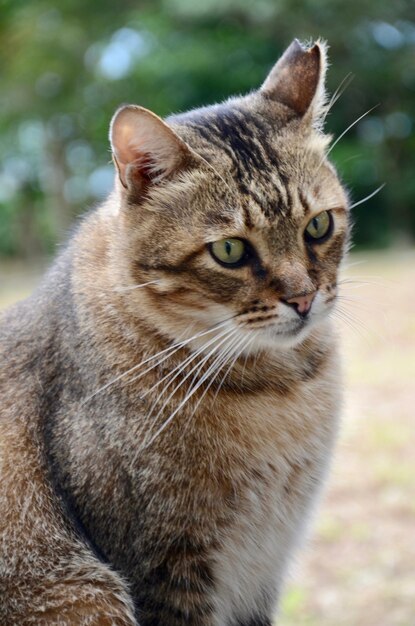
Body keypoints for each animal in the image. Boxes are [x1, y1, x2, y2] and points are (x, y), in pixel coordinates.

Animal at [0, 40, 352, 624]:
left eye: (318, 226)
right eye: (230, 250)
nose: (303, 298)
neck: (280, 388)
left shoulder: (260, 573)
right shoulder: (164, 567)